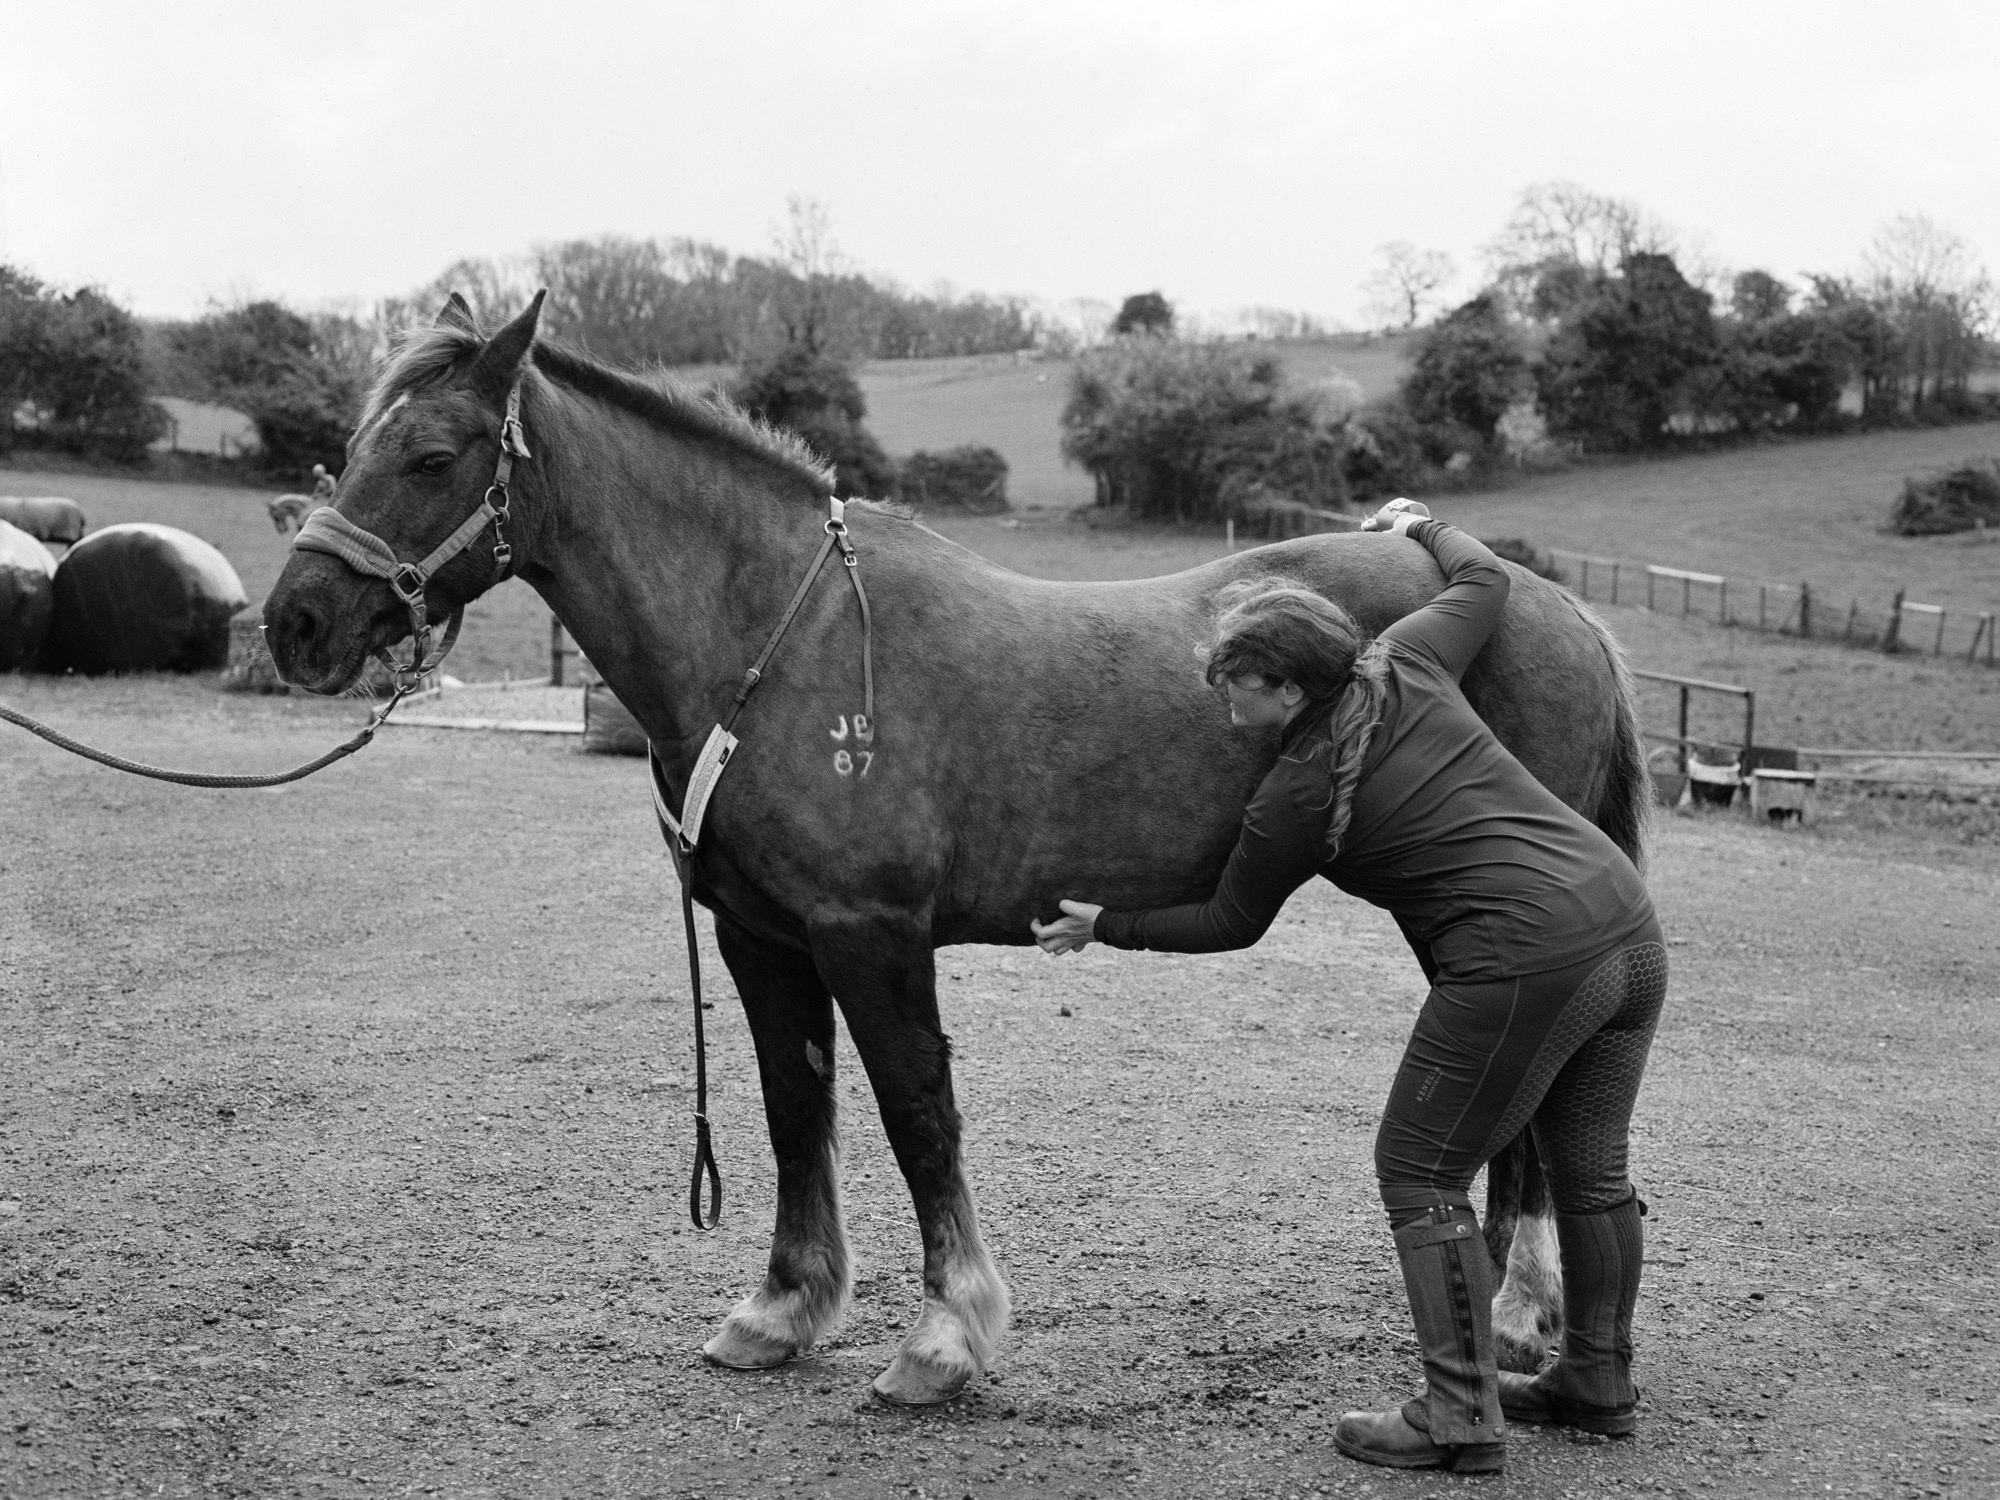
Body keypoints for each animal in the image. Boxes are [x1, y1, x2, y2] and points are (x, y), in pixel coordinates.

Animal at [263, 293, 1649, 1405]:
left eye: (431, 455)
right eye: (350, 450)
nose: (297, 622)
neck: (779, 643)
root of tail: (1551, 604)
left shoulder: (871, 937)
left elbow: (915, 1114)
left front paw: (940, 1342)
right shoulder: (761, 938)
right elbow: (794, 1110)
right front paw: (781, 1311)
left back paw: (1517, 1312)